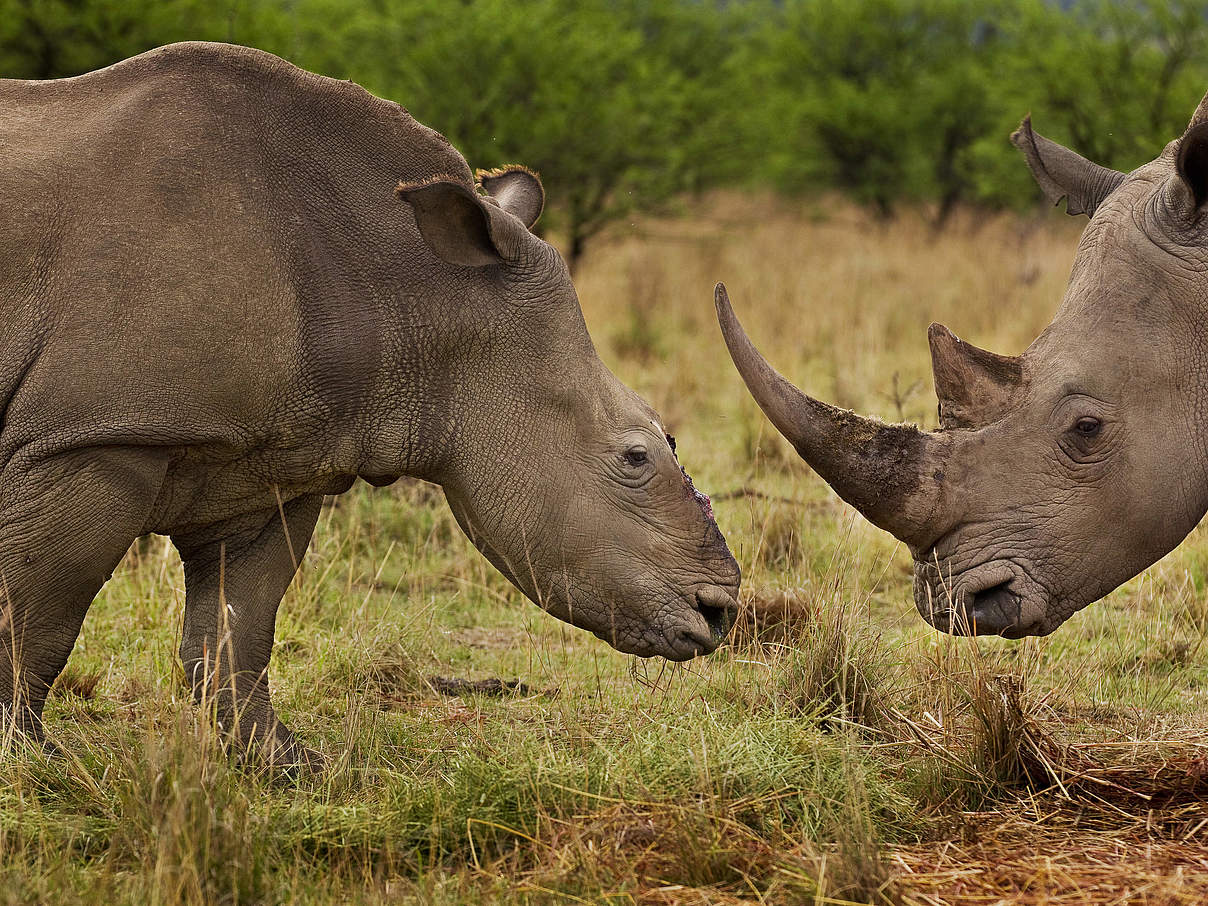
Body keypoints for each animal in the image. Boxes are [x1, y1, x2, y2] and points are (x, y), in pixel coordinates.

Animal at [0, 42, 739, 768]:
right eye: (634, 457)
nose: (719, 611)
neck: (419, 290)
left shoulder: (274, 459)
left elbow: (239, 625)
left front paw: (287, 766)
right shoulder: (93, 437)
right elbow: (38, 615)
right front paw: (31, 762)